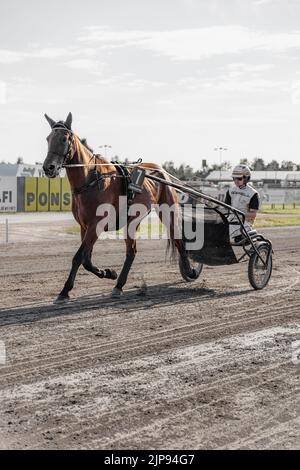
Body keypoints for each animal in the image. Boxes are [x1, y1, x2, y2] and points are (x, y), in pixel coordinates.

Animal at [42, 112, 197, 302]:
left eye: (64, 139)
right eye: (48, 138)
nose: (48, 167)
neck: (91, 180)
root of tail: (161, 170)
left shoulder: (96, 224)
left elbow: (78, 257)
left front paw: (65, 291)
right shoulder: (84, 226)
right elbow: (86, 259)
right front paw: (108, 273)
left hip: (168, 211)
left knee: (178, 240)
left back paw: (190, 271)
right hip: (133, 220)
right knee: (131, 251)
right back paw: (119, 285)